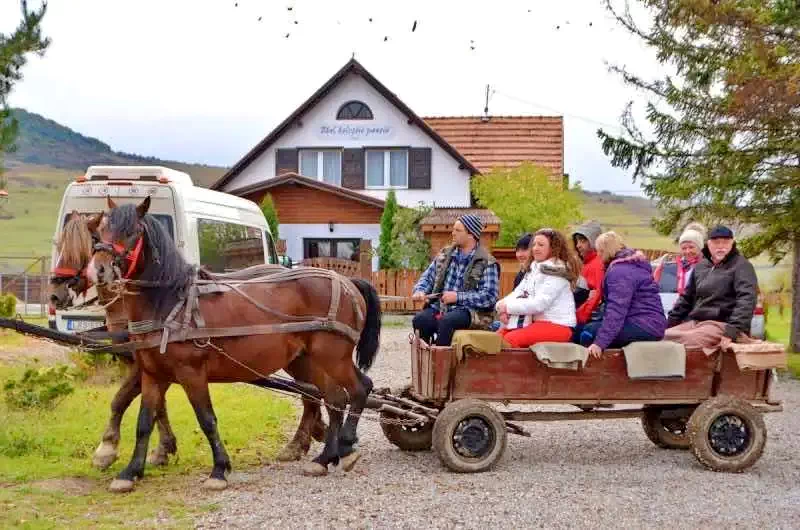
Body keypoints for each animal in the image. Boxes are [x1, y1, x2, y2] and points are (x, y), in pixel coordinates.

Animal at [50, 209, 328, 470]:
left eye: (87, 243)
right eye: (60, 243)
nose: (54, 293)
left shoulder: (150, 366)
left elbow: (121, 400)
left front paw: (107, 449)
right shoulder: (151, 365)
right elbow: (156, 406)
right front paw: (163, 448)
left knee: (310, 392)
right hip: (296, 357)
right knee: (311, 391)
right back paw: (307, 437)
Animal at [87, 195, 382, 490]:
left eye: (132, 231)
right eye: (99, 232)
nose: (99, 270)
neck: (170, 304)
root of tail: (347, 281)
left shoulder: (191, 373)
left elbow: (206, 419)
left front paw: (219, 469)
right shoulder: (152, 374)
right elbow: (143, 422)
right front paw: (130, 472)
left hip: (333, 357)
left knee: (359, 389)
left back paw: (345, 447)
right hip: (309, 360)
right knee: (333, 398)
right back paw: (324, 458)